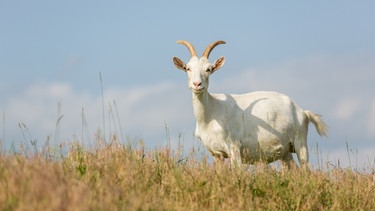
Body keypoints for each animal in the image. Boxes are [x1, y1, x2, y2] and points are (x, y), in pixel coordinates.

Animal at [172, 39, 328, 168]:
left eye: (209, 69)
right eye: (188, 68)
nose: (197, 84)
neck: (211, 113)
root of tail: (302, 111)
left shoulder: (234, 147)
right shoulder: (217, 153)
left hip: (300, 142)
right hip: (285, 152)